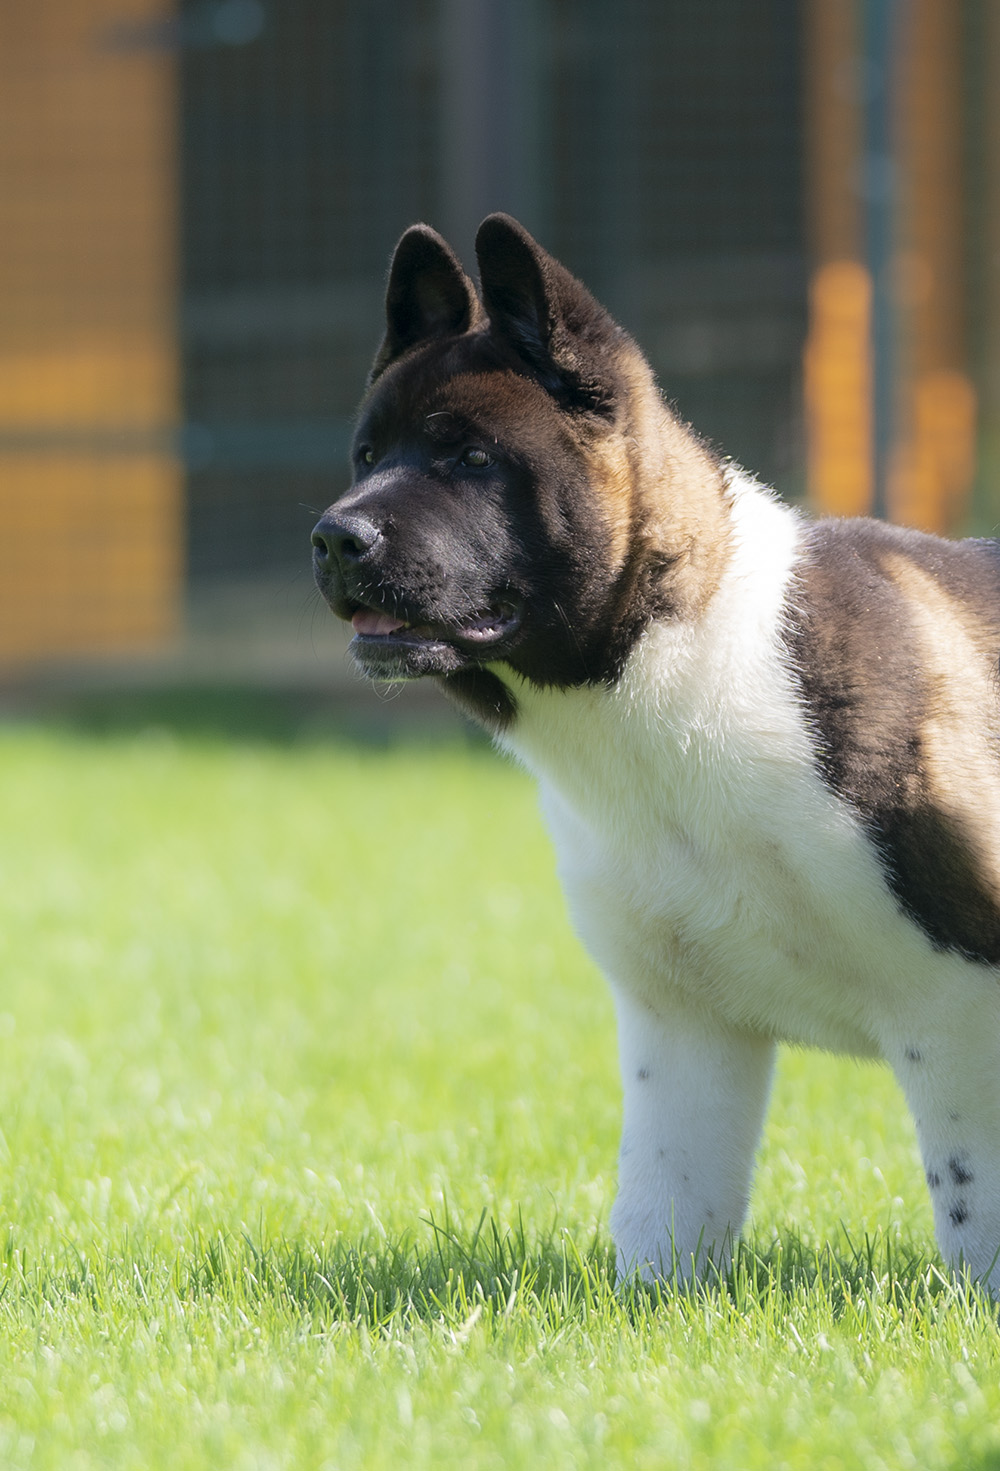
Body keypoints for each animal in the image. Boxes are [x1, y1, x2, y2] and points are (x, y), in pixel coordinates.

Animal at [310, 210, 1000, 1288]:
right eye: (366, 454)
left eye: (471, 461)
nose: (335, 538)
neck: (674, 662)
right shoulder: (682, 1026)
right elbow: (666, 1201)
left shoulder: (958, 1005)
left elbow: (973, 1200)